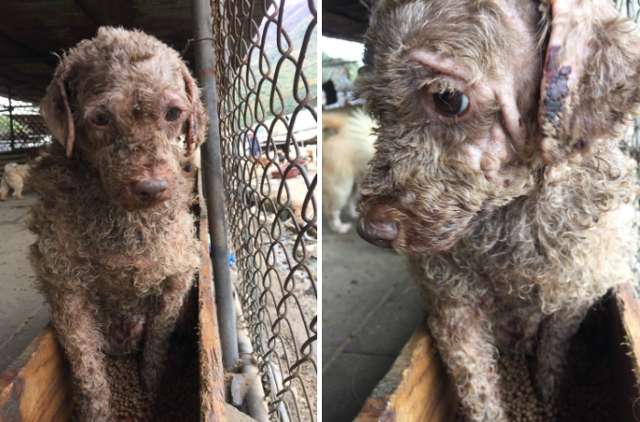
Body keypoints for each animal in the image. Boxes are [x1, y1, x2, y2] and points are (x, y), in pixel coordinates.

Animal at [28, 27, 208, 422]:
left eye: (174, 113)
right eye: (100, 118)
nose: (153, 187)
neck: (124, 225)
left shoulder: (178, 274)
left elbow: (158, 338)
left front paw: (152, 384)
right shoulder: (66, 290)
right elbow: (87, 369)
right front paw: (96, 412)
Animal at [358, 0, 640, 422]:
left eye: (447, 98)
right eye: (377, 109)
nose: (368, 230)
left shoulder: (577, 289)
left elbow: (555, 343)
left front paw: (549, 389)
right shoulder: (452, 302)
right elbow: (476, 387)